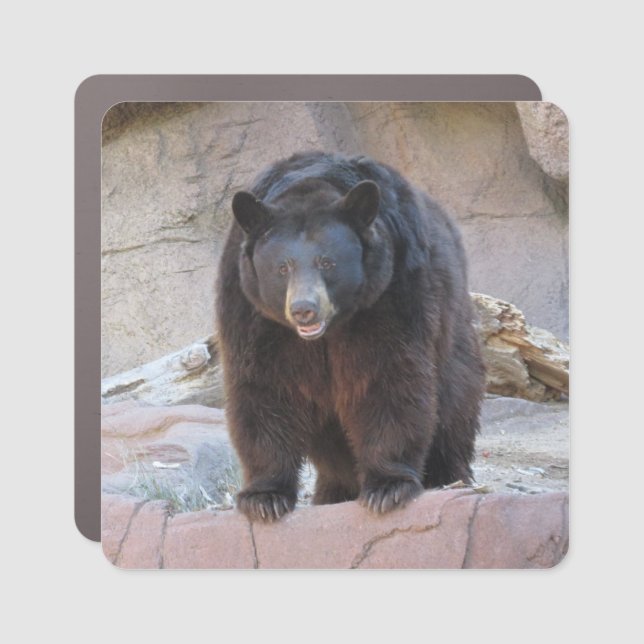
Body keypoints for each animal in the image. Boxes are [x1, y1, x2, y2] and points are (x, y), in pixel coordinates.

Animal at [215, 151, 485, 522]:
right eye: (282, 267)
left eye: (327, 262)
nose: (304, 309)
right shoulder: (253, 313)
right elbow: (262, 387)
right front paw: (264, 497)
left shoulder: (391, 292)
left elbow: (388, 376)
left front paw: (388, 487)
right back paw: (333, 491)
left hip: (452, 322)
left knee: (455, 399)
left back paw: (448, 477)